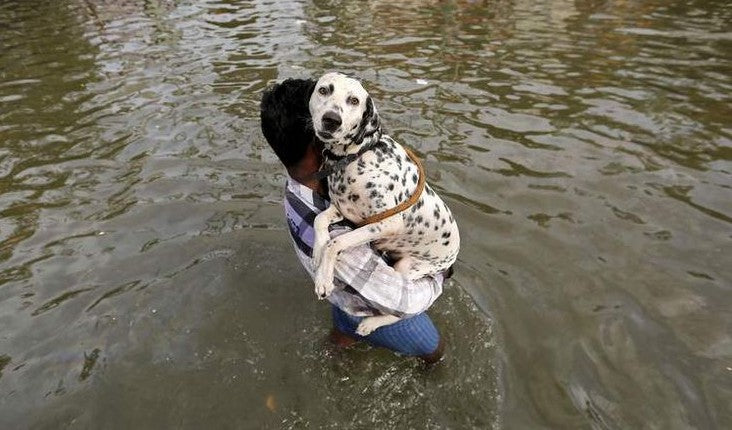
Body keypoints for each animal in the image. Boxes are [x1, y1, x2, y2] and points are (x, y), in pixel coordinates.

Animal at [308, 72, 458, 336]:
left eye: (354, 101)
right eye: (324, 90)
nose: (331, 120)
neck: (356, 156)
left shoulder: (386, 223)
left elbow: (337, 242)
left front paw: (324, 279)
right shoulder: (341, 209)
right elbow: (319, 220)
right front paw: (318, 253)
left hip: (407, 267)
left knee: (402, 312)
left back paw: (370, 323)